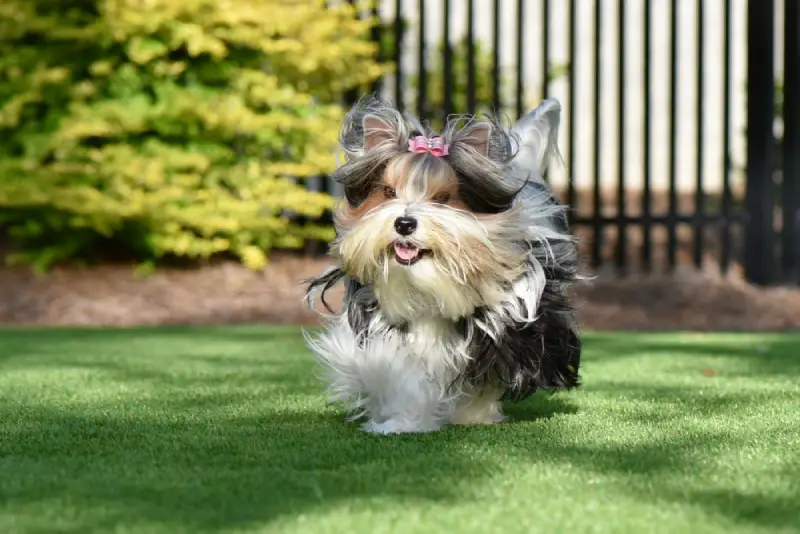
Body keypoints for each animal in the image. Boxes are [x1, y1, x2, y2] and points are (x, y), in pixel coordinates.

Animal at [304, 93, 584, 436]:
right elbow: (392, 367)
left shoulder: (509, 324)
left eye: (442, 198)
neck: (426, 278)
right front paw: (402, 420)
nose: (404, 223)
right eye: (388, 191)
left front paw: (472, 414)